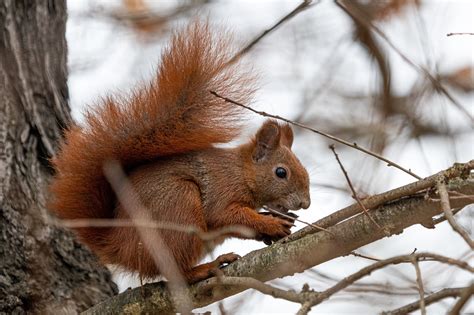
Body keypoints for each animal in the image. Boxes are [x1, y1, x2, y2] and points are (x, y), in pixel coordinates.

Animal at [50, 22, 312, 284]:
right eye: (281, 173)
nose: (305, 203)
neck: (241, 171)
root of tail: (119, 247)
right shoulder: (222, 189)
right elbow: (227, 216)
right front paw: (269, 223)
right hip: (179, 208)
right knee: (178, 271)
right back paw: (206, 267)